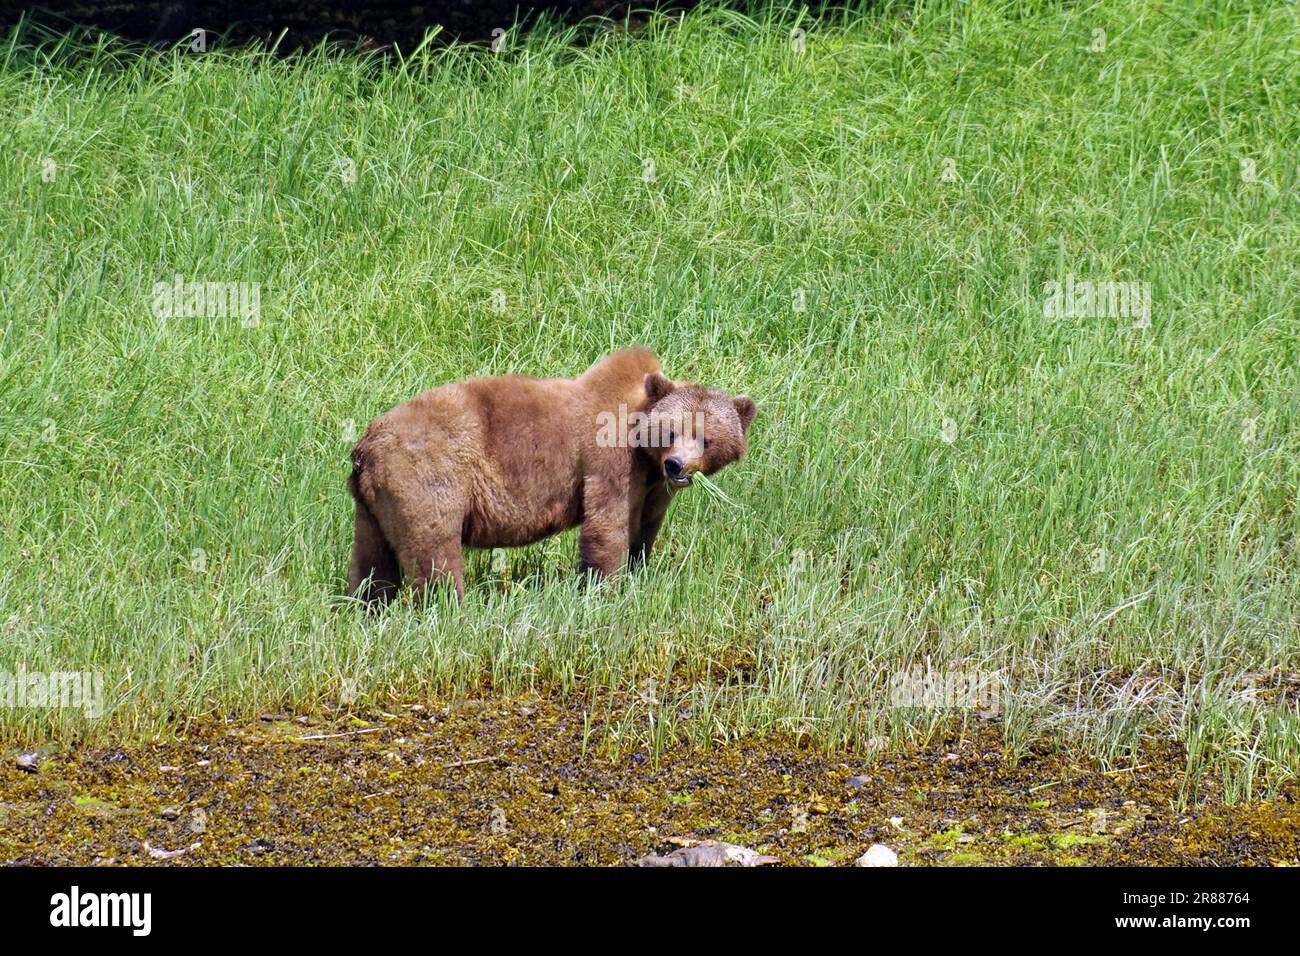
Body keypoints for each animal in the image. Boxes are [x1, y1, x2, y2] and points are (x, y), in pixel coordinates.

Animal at [345, 348, 759, 606]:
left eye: (705, 438)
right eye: (672, 431)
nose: (676, 465)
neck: (644, 449)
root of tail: (366, 444)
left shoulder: (652, 488)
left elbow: (644, 528)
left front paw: (638, 570)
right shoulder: (609, 460)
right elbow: (607, 525)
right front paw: (607, 587)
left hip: (374, 501)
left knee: (371, 560)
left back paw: (366, 605)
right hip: (428, 474)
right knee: (434, 552)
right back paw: (448, 608)